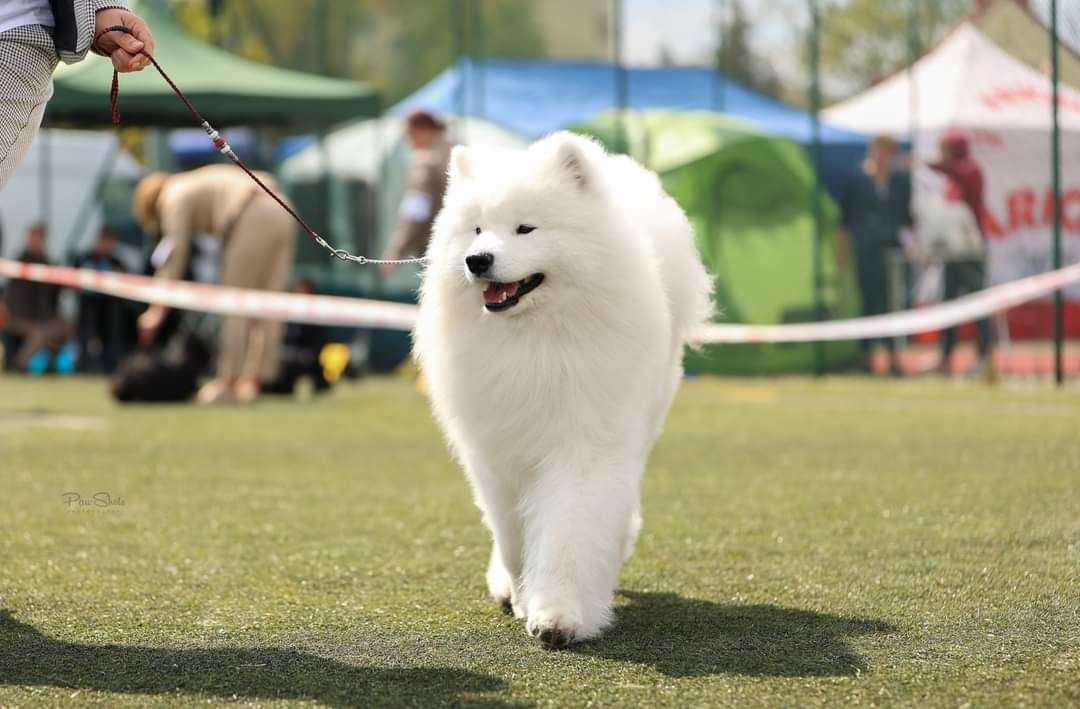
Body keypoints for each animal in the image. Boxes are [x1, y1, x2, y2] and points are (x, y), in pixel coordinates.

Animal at [410, 130, 708, 644]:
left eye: (525, 229)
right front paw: (521, 593)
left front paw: (558, 615)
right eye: (476, 230)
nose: (477, 260)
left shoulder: (585, 446)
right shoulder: (494, 453)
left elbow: (572, 531)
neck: (535, 340)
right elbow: (512, 537)